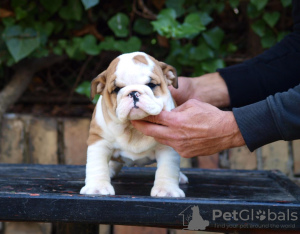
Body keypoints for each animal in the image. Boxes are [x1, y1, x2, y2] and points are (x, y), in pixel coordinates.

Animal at [79, 51, 188, 197]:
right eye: (117, 89)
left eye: (151, 85)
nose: (133, 92)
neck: (132, 128)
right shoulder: (99, 140)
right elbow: (97, 165)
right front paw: (97, 187)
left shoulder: (168, 144)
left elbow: (168, 168)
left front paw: (166, 190)